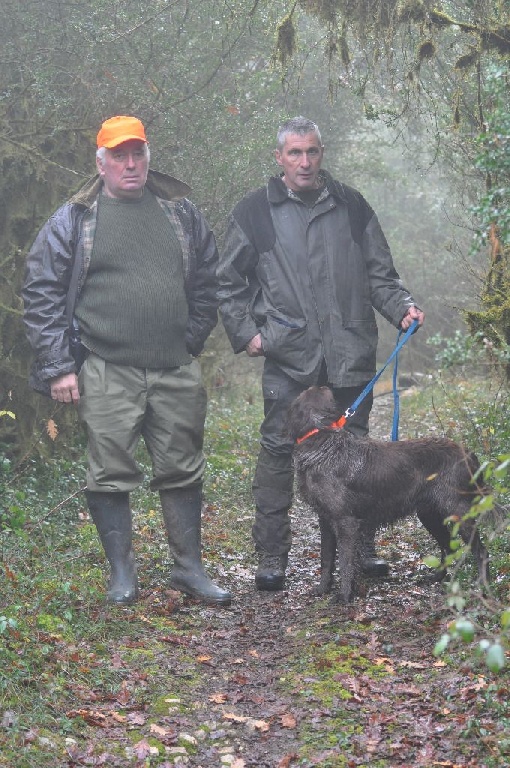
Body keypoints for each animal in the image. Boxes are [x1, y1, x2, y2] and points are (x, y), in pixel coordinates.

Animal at [286, 388, 490, 604]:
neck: (322, 443)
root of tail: (469, 454)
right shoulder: (325, 519)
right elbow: (326, 559)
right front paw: (322, 589)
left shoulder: (345, 521)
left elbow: (345, 562)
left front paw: (345, 595)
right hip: (429, 514)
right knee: (449, 548)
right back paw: (437, 578)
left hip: (459, 511)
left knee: (481, 552)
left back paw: (482, 589)